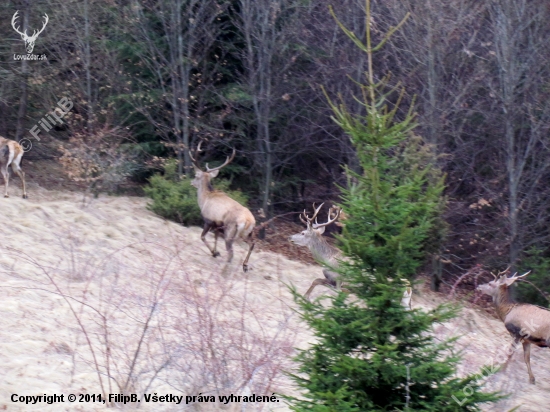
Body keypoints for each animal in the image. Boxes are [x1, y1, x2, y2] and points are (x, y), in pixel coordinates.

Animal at [190, 143, 256, 272]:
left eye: (196, 175)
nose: (191, 182)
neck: (204, 199)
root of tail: (248, 221)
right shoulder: (217, 225)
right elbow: (215, 237)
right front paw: (215, 252)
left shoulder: (208, 220)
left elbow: (202, 237)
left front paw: (215, 253)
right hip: (247, 233)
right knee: (252, 244)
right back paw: (245, 266)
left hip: (230, 231)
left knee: (231, 252)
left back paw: (224, 270)